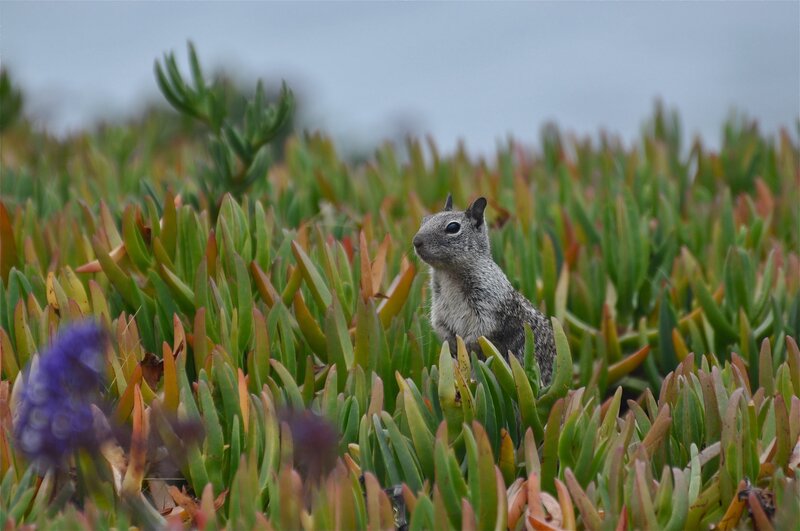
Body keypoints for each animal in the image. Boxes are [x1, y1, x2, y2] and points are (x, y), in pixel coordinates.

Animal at [412, 194, 556, 384]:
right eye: (424, 220)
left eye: (453, 227)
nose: (416, 241)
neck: (448, 275)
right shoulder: (439, 309)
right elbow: (440, 325)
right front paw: (451, 344)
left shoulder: (488, 304)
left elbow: (482, 331)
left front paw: (464, 346)